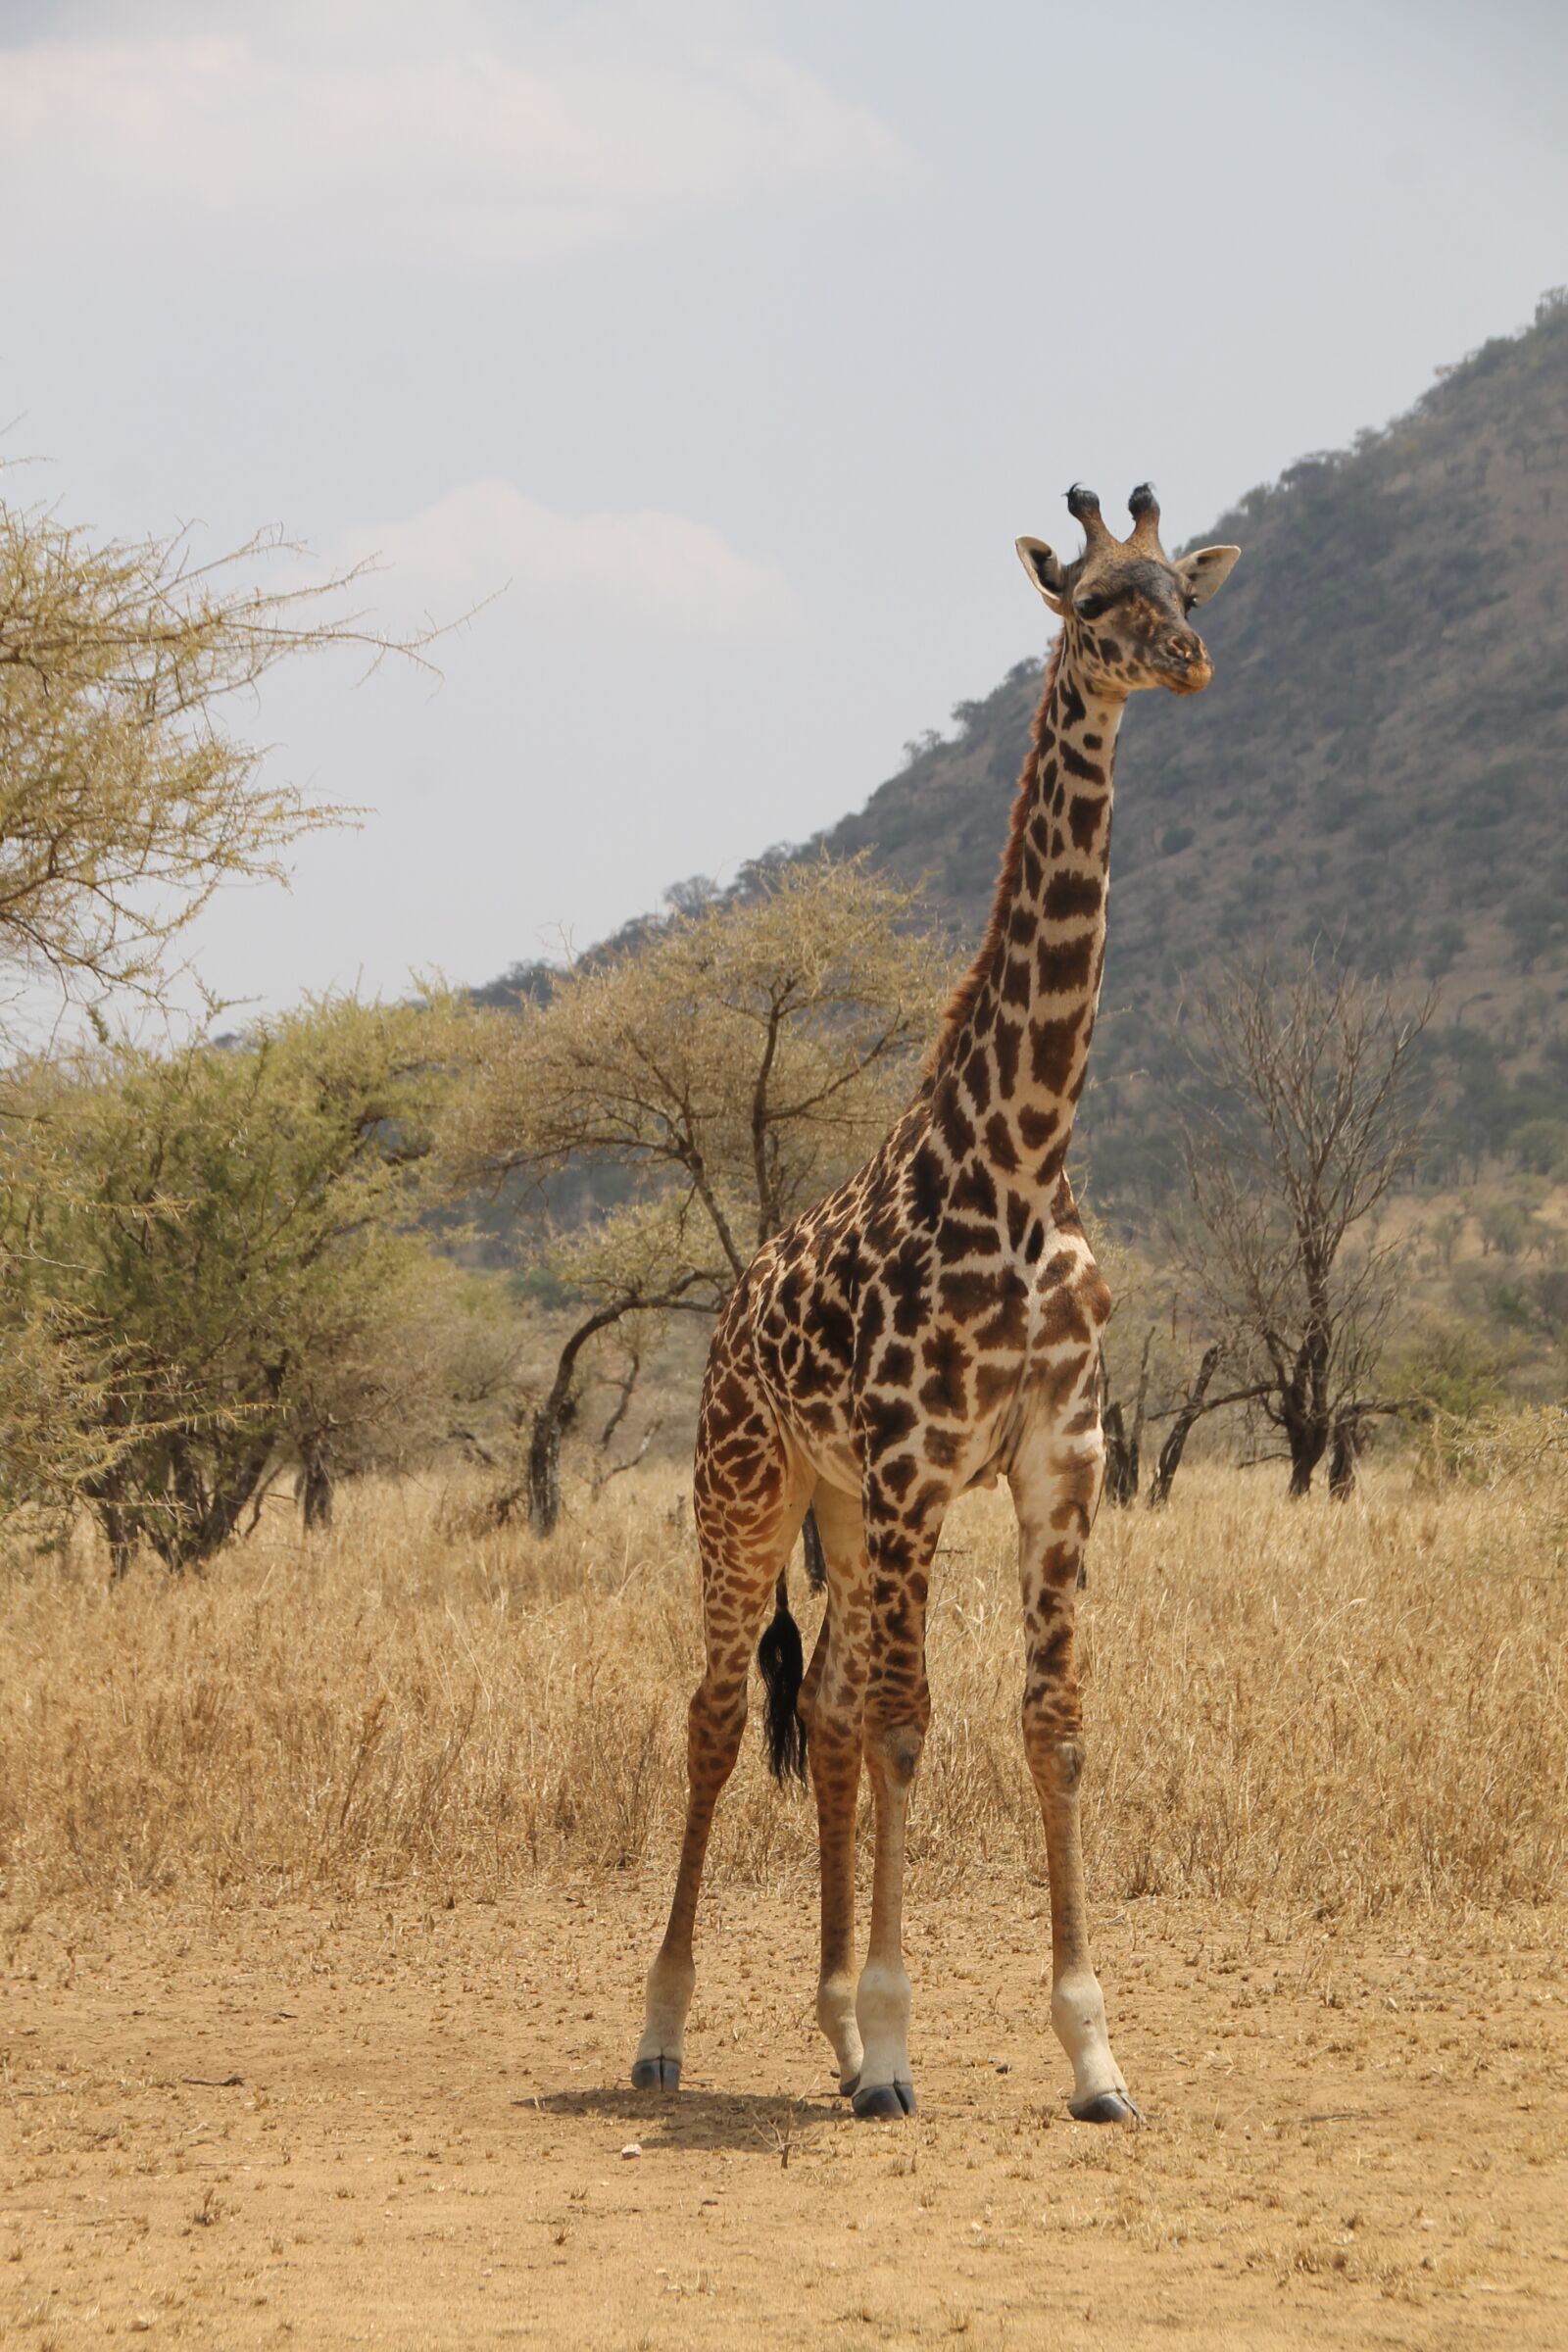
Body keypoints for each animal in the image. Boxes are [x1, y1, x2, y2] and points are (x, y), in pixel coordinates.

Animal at [632, 483, 1241, 2121]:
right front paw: (907, 2047)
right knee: (724, 1713)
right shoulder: (916, 1467)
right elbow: (915, 1729)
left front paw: (1091, 2054)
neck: (1026, 1162)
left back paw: (834, 2032)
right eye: (1091, 604)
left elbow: (1052, 1728)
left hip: (843, 1511)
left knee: (830, 1710)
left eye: (1187, 590)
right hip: (750, 1488)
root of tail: (728, 1312)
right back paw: (663, 2032)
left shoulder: (1058, 1457)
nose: (1184, 666)